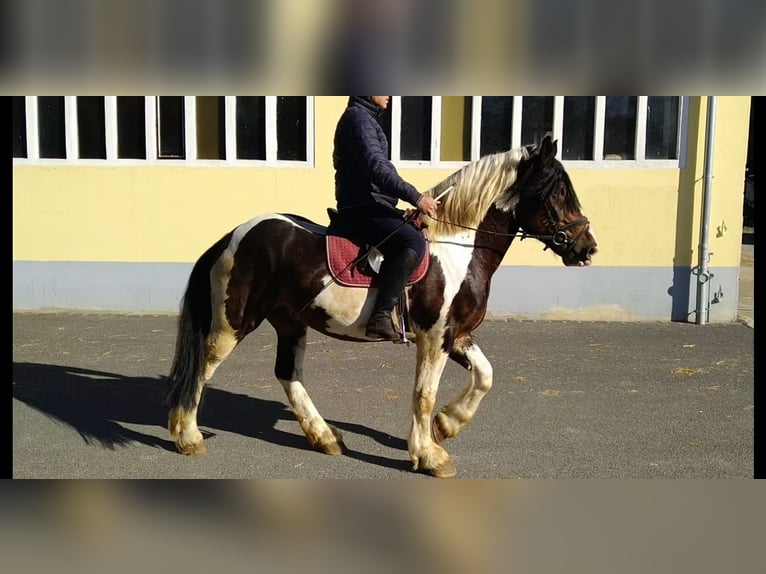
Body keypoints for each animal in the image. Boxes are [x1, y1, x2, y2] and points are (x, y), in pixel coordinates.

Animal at [165, 135, 598, 478]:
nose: (587, 248)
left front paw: (446, 425)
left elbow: (485, 376)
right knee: (202, 368)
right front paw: (429, 455)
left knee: (288, 375)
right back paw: (188, 437)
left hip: (289, 322)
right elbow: (424, 394)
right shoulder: (434, 336)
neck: (458, 248)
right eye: (558, 193)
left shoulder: (456, 334)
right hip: (233, 323)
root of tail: (232, 236)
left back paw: (325, 437)